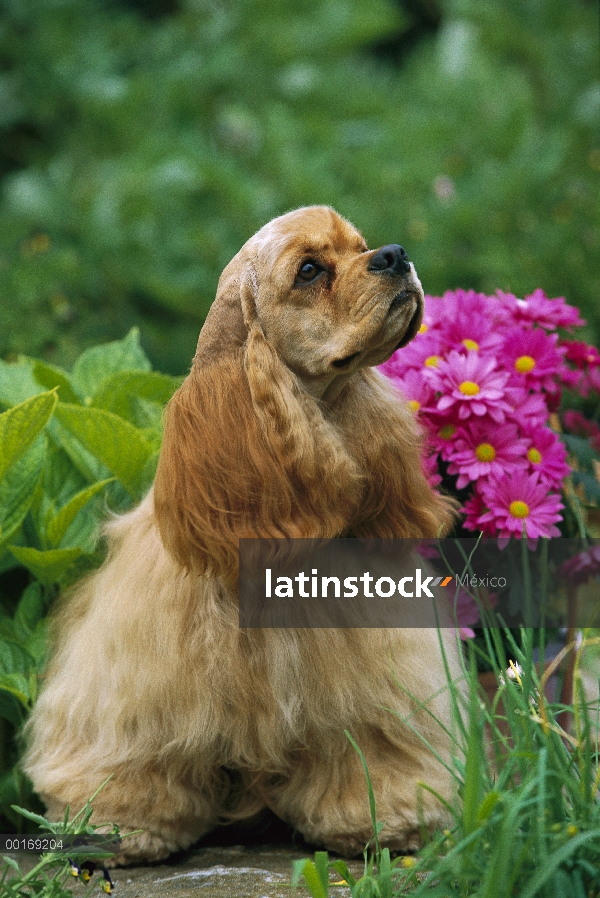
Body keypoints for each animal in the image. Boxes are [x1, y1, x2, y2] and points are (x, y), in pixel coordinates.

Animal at [23, 206, 462, 864]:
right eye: (309, 271)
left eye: (360, 246)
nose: (394, 254)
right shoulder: (140, 679)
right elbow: (137, 748)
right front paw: (124, 825)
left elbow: (372, 741)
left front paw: (387, 819)